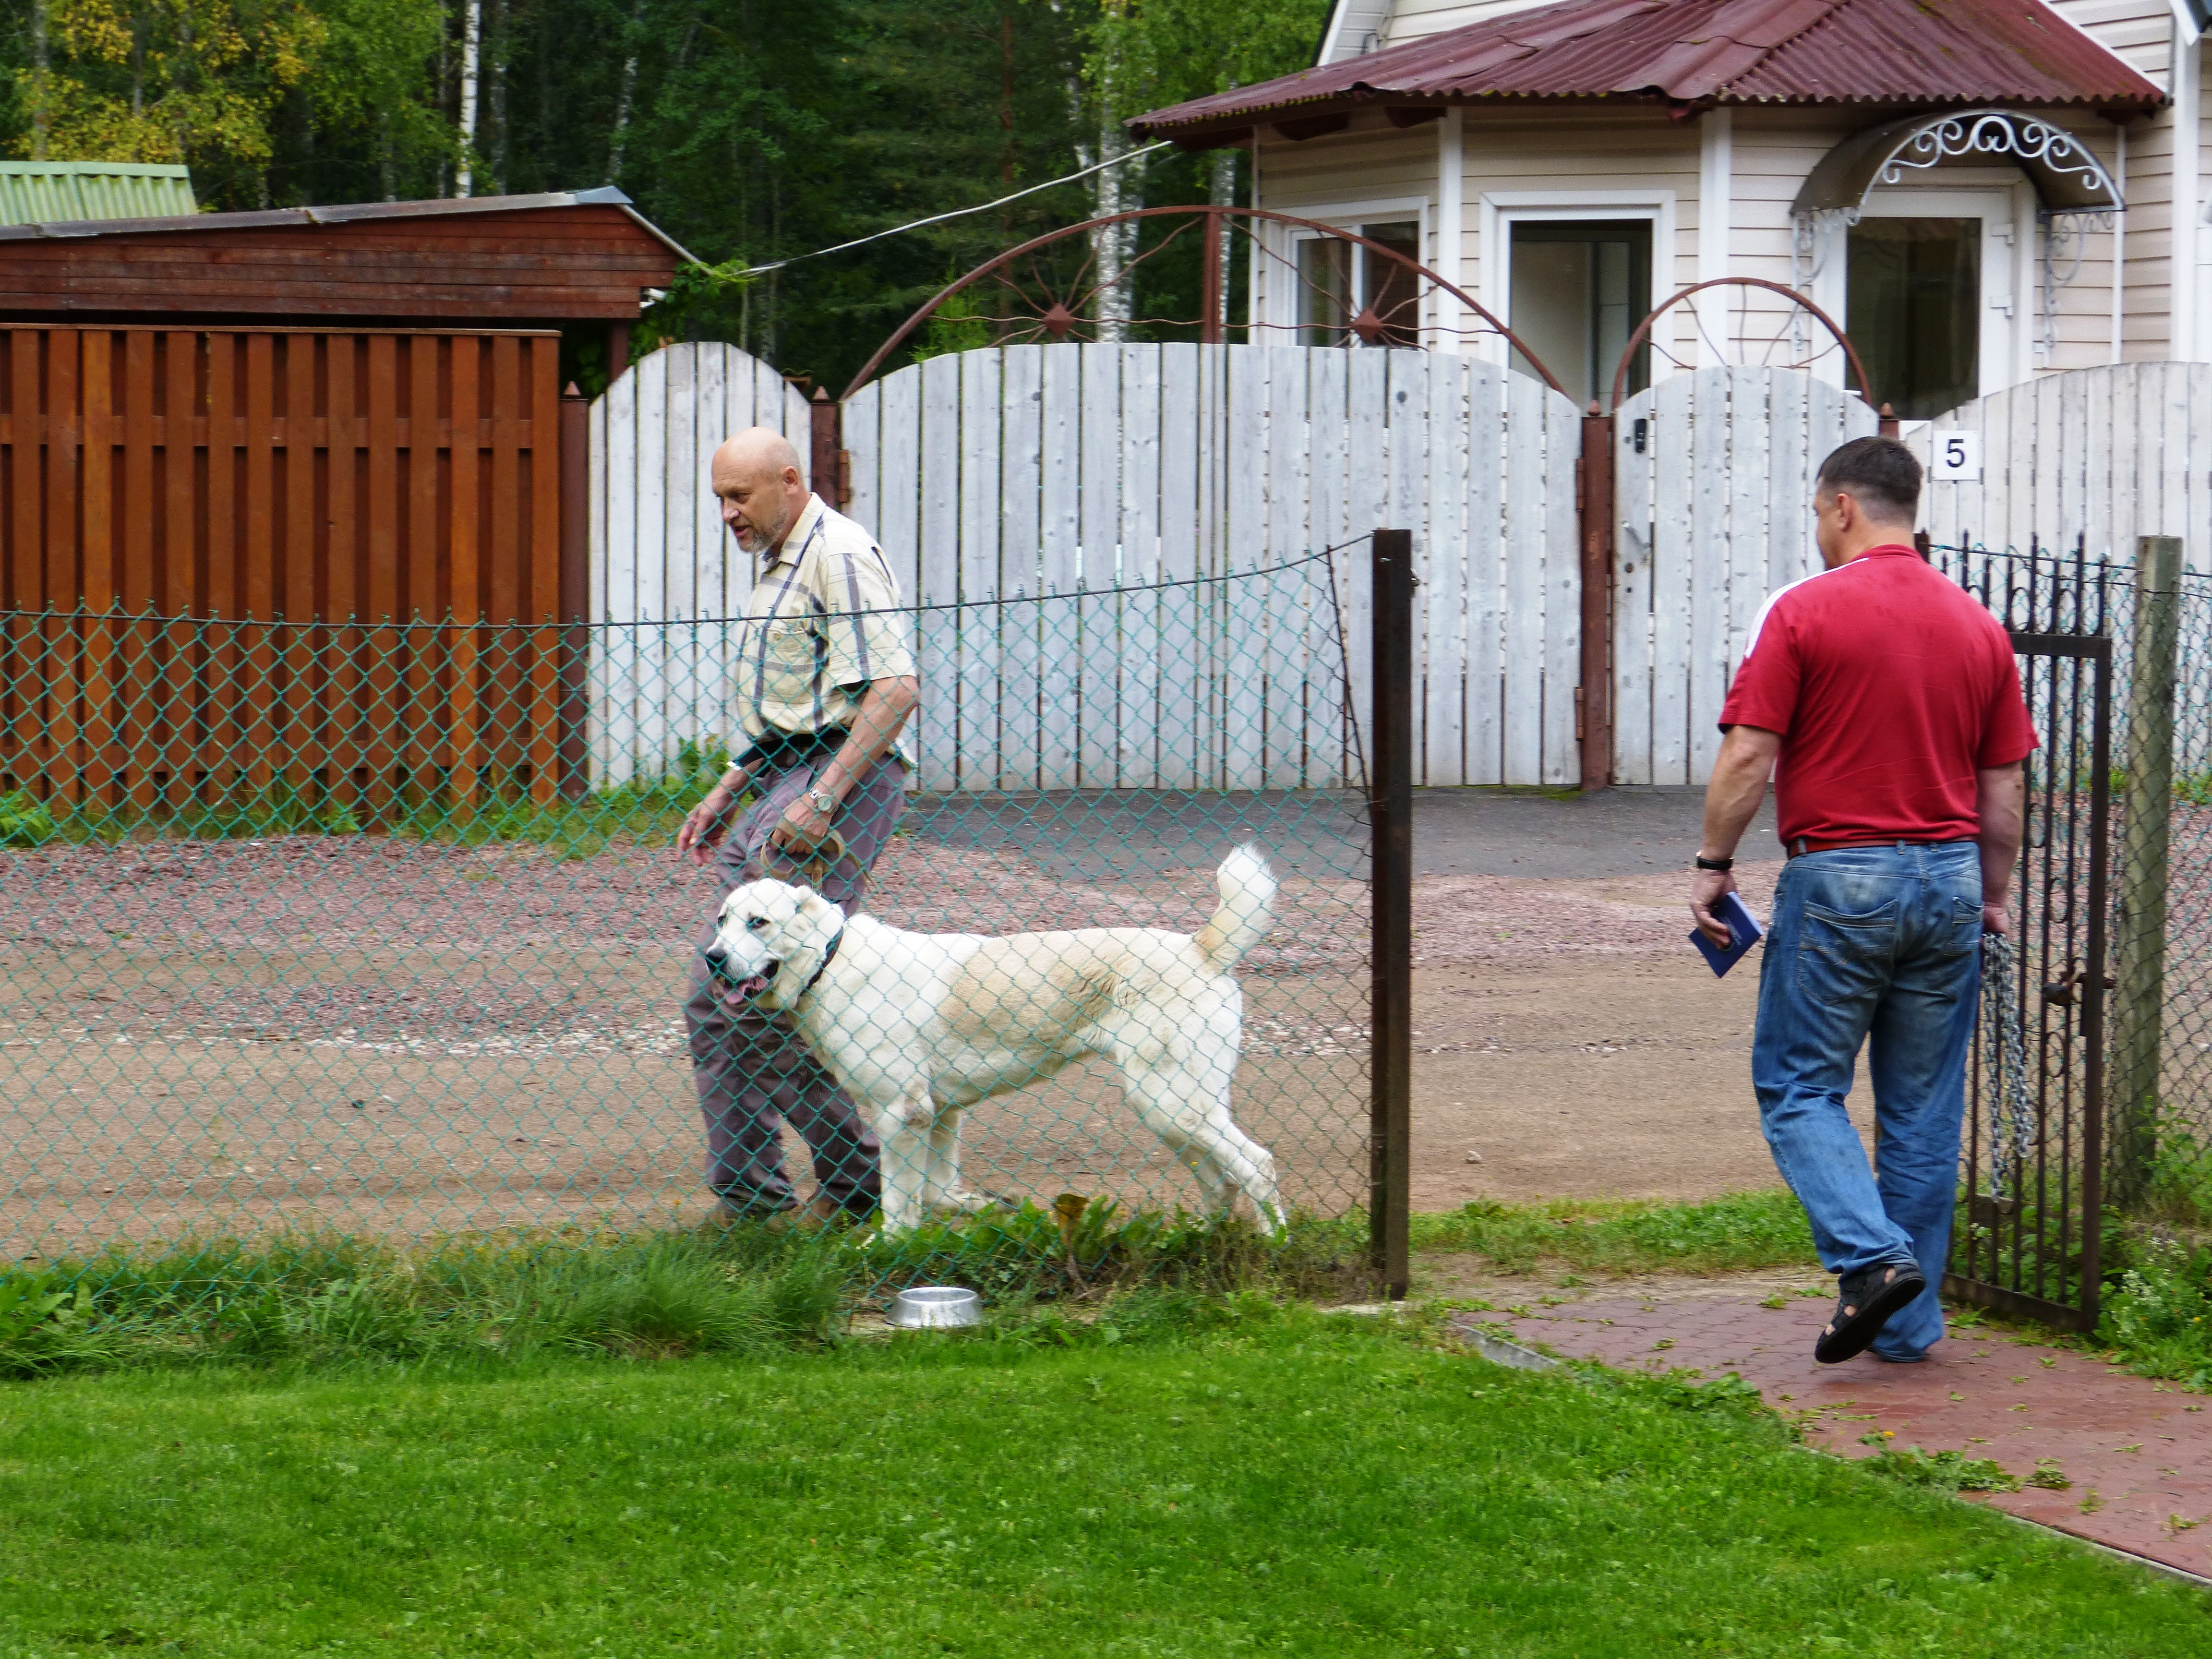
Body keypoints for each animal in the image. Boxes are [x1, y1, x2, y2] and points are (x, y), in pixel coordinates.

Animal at [690, 849, 1283, 1238]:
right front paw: (984, 1207)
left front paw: (885, 1249)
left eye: (759, 923)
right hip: (1172, 1111)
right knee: (1220, 1180)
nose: (713, 958)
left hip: (1171, 1102)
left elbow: (900, 1200)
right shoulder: (940, 1114)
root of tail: (1201, 950)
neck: (828, 962)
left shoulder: (902, 1112)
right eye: (722, 920)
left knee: (1257, 1166)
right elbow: (935, 1192)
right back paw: (1198, 1242)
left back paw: (1274, 1245)